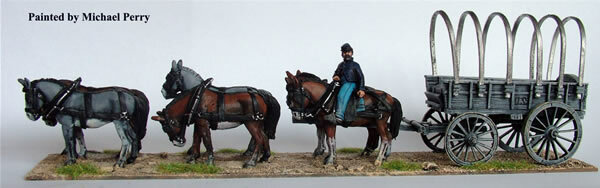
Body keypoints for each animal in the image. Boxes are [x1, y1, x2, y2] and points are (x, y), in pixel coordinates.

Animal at [151, 81, 280, 167]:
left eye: (165, 128)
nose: (177, 143)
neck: (195, 99)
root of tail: (260, 95)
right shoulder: (199, 122)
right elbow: (196, 139)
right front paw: (193, 158)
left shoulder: (203, 123)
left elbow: (207, 141)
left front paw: (210, 161)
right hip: (258, 124)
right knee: (264, 136)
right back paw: (264, 157)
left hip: (251, 123)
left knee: (259, 139)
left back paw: (251, 162)